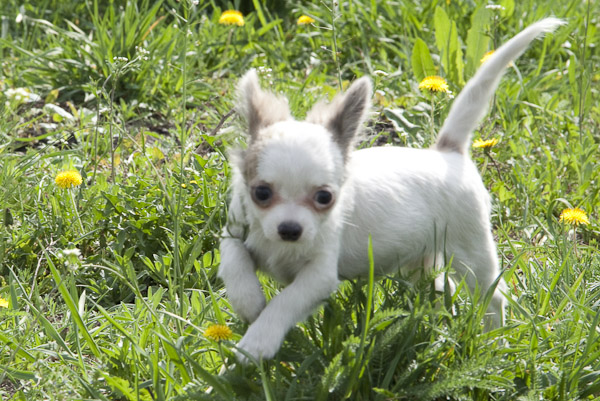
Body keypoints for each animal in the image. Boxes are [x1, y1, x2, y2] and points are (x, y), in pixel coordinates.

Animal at [218, 18, 564, 363]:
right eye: (261, 194)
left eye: (325, 198)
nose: (290, 230)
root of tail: (447, 152)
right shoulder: (234, 232)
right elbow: (234, 263)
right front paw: (249, 302)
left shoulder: (319, 276)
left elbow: (285, 301)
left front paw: (258, 340)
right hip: (422, 258)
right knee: (443, 288)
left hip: (471, 251)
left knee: (492, 297)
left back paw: (493, 343)